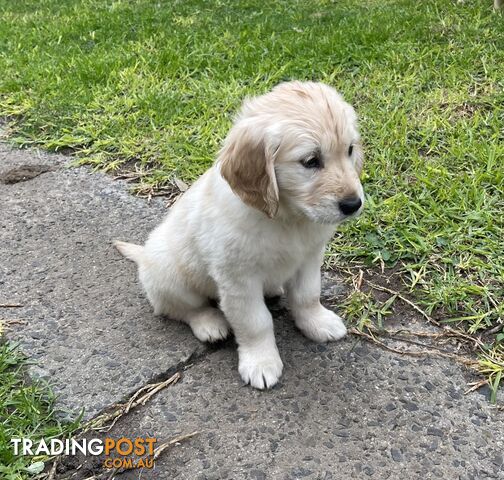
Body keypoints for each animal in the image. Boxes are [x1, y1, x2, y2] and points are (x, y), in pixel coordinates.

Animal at [115, 81, 362, 390]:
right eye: (311, 161)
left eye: (350, 149)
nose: (354, 204)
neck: (287, 218)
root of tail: (144, 255)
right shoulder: (238, 279)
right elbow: (255, 322)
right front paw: (261, 362)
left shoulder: (309, 258)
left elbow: (307, 295)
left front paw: (317, 323)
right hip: (168, 274)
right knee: (183, 308)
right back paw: (209, 323)